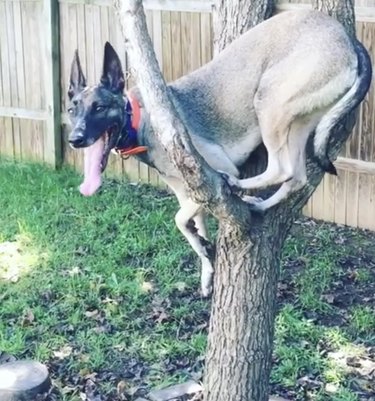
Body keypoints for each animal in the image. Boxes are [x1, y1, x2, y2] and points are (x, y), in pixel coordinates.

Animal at [68, 9, 374, 296]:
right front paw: (206, 265)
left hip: (269, 100)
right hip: (299, 122)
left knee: (281, 168)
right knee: (296, 176)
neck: (140, 119)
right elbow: (194, 226)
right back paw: (259, 204)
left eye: (99, 107)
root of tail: (348, 38)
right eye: (72, 109)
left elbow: (179, 219)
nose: (75, 139)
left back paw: (240, 186)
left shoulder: (206, 179)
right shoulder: (188, 191)